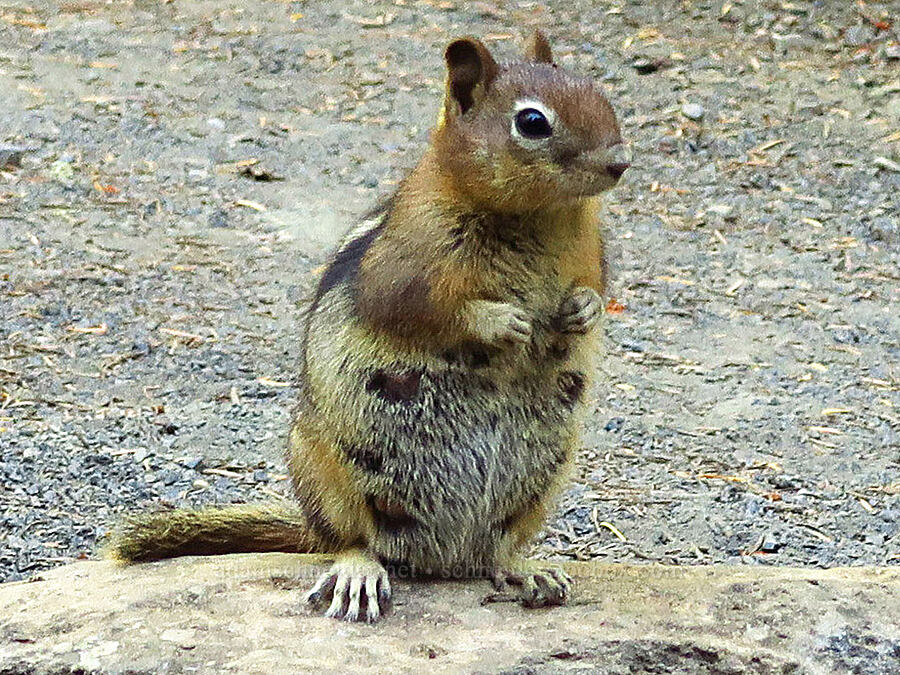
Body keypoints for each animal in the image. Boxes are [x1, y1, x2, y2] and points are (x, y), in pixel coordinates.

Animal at [109, 30, 628, 624]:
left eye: (598, 90)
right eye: (533, 122)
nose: (621, 162)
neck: (539, 216)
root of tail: (442, 559)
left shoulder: (593, 252)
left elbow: (598, 288)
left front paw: (583, 309)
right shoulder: (407, 260)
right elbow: (420, 306)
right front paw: (503, 320)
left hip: (542, 483)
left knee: (498, 552)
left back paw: (527, 568)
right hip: (326, 471)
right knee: (351, 539)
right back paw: (358, 571)